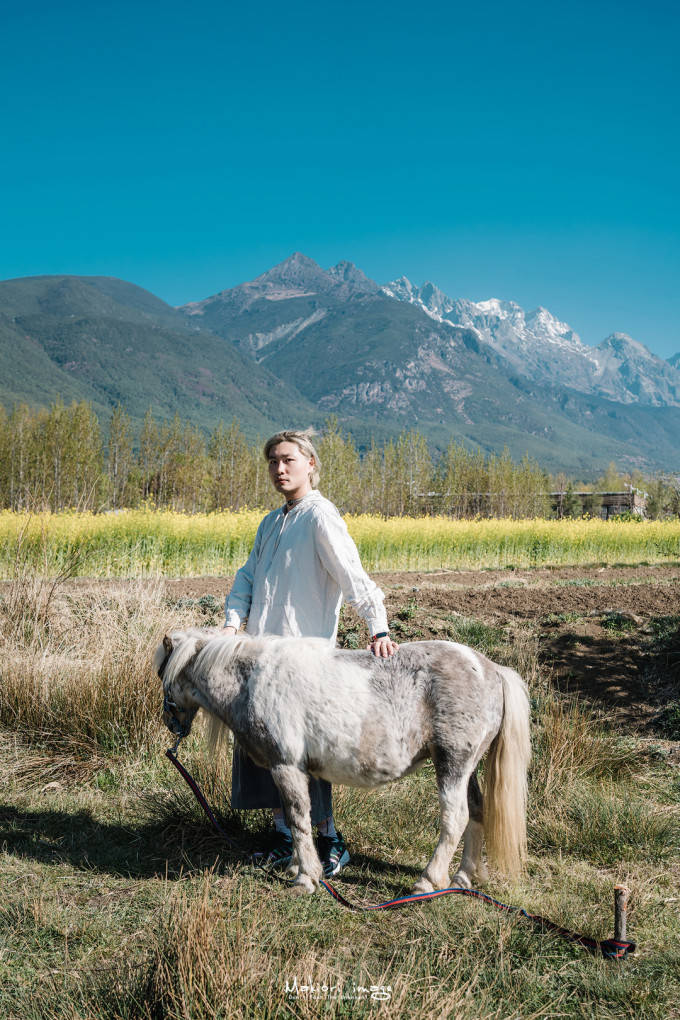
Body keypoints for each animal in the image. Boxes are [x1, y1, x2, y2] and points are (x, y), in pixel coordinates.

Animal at [155, 624, 530, 897]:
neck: (252, 681)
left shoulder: (286, 766)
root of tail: (491, 669)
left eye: (162, 675)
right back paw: (463, 877)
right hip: (467, 767)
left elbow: (298, 818)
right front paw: (296, 866)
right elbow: (298, 819)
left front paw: (305, 879)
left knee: (456, 818)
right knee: (477, 811)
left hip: (452, 763)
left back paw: (427, 882)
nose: (169, 723)